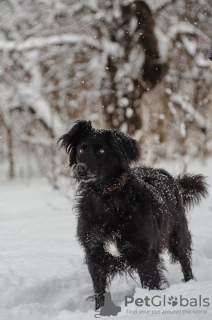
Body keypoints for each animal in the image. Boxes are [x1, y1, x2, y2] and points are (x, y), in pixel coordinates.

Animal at [58, 119, 208, 310]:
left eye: (101, 150)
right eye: (81, 150)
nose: (81, 168)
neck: (106, 198)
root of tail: (169, 177)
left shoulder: (146, 254)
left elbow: (151, 283)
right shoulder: (94, 253)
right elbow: (99, 290)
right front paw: (99, 310)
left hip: (178, 236)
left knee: (185, 261)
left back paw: (189, 284)